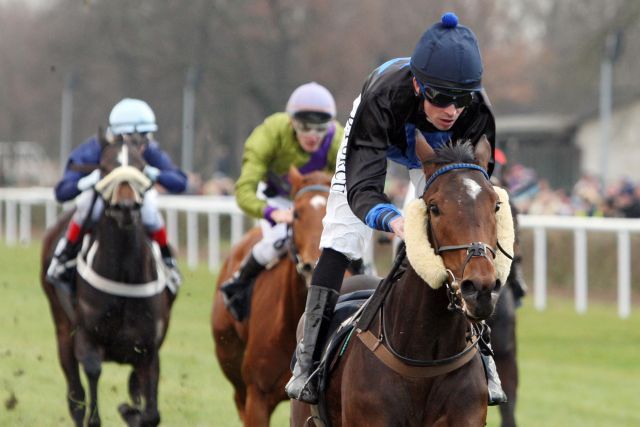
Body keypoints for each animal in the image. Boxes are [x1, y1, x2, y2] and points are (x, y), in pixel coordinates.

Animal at [41, 137, 174, 427]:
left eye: (142, 166)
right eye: (103, 167)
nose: (126, 207)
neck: (124, 274)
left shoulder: (149, 349)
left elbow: (151, 413)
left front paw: (130, 411)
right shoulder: (87, 339)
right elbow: (92, 378)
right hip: (62, 329)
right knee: (75, 396)